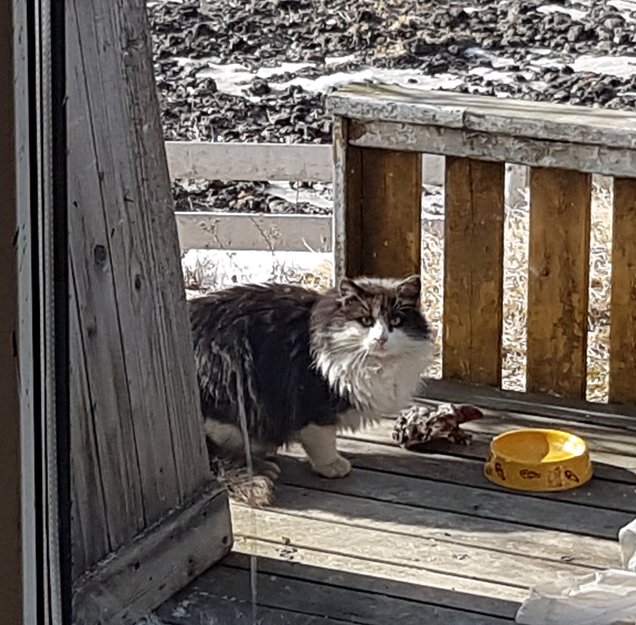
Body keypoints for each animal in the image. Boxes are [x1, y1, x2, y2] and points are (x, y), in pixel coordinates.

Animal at [189, 274, 433, 481]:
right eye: (366, 320)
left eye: (396, 321)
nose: (381, 339)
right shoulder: (313, 402)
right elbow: (322, 440)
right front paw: (332, 465)